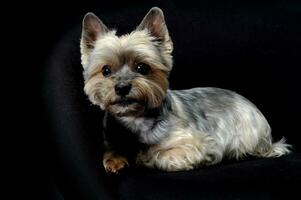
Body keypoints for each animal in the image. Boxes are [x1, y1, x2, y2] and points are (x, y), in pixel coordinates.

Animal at [78, 6, 290, 172]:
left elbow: (158, 155)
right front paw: (115, 160)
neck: (135, 119)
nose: (122, 87)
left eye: (142, 68)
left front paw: (142, 156)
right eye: (106, 70)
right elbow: (110, 150)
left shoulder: (199, 144)